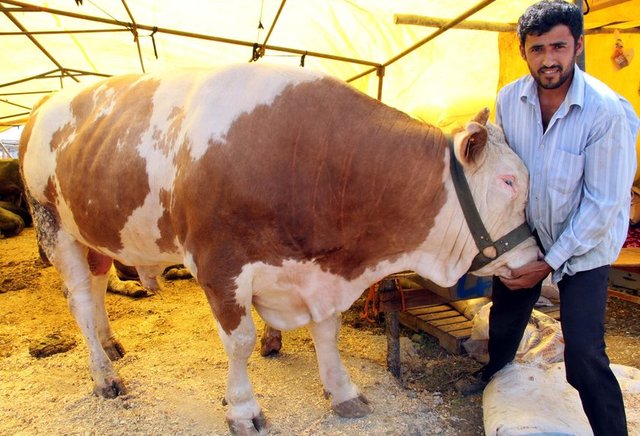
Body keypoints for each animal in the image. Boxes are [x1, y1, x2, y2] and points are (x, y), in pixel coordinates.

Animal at [20, 63, 536, 434]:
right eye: (509, 181)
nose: (535, 259)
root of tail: (45, 102)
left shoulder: (318, 270)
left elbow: (326, 331)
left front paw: (343, 391)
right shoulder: (220, 264)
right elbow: (241, 340)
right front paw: (242, 408)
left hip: (93, 231)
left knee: (98, 283)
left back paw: (111, 343)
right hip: (53, 225)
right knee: (80, 301)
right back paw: (105, 375)